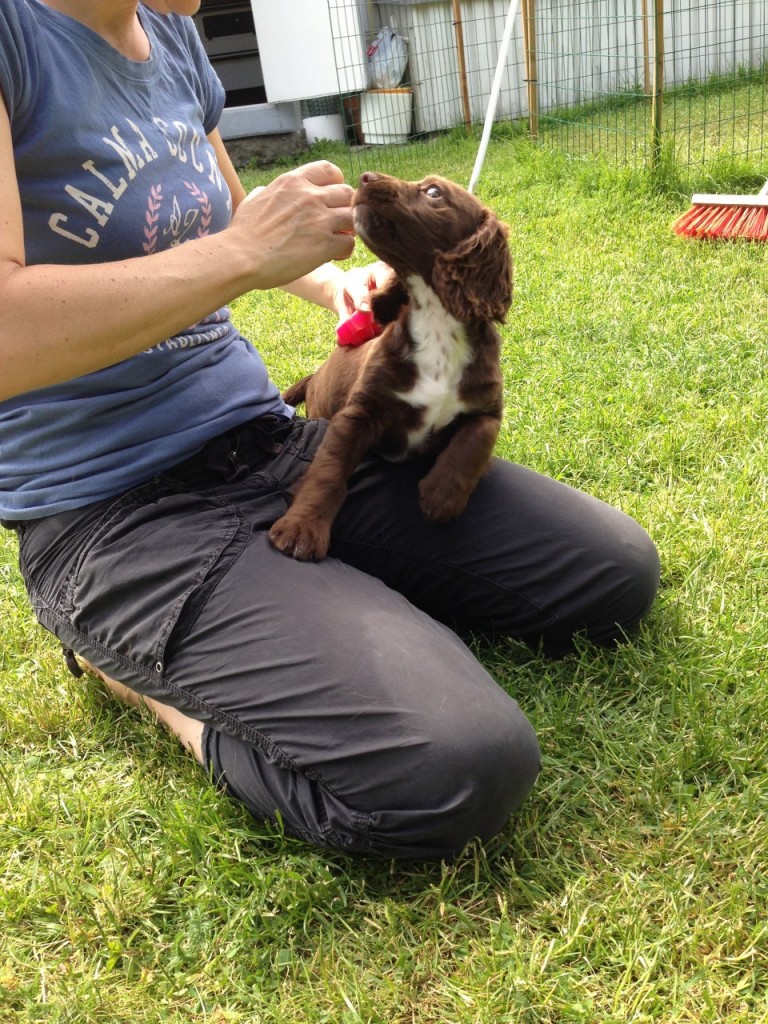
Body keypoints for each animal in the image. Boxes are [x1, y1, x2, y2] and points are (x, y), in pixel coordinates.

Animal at [268, 173, 514, 565]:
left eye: (433, 192)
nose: (365, 177)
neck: (436, 321)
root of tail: (315, 376)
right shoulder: (357, 413)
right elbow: (328, 472)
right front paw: (301, 530)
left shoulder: (488, 406)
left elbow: (476, 440)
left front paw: (441, 495)